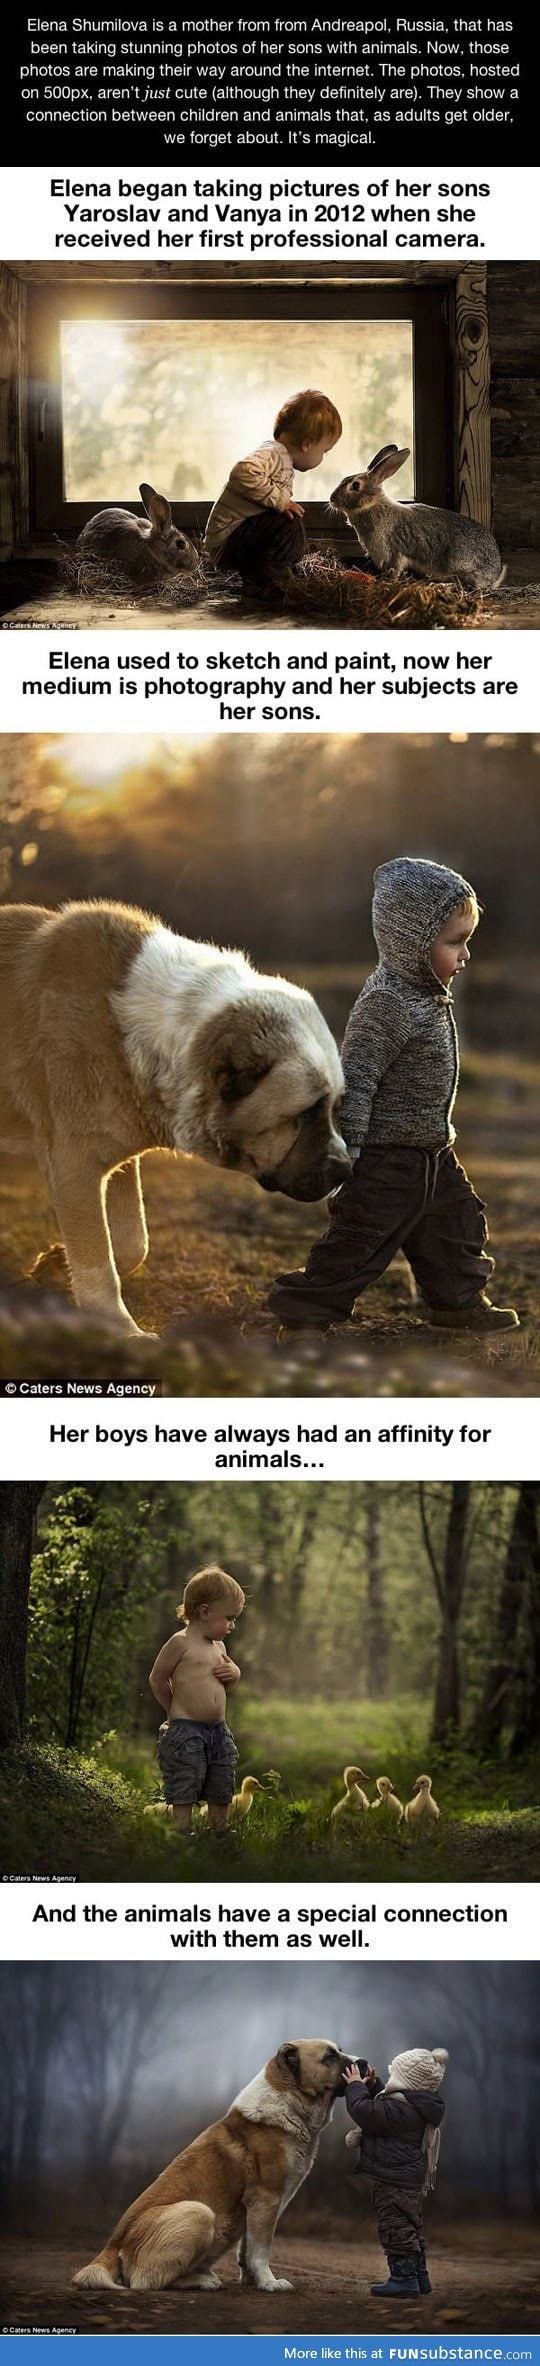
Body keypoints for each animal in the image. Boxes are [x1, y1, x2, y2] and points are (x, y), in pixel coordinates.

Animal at [0, 903, 348, 1343]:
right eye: (304, 1114)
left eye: (334, 1106)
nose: (346, 1169)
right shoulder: (73, 1163)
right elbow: (98, 1257)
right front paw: (121, 1330)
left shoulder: (113, 1157)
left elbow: (131, 1241)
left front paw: (57, 1264)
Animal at [331, 444, 504, 591]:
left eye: (355, 485)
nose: (332, 499)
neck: (372, 505)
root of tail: (495, 573)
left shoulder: (393, 552)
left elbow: (394, 569)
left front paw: (385, 582)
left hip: (457, 563)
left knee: (468, 586)